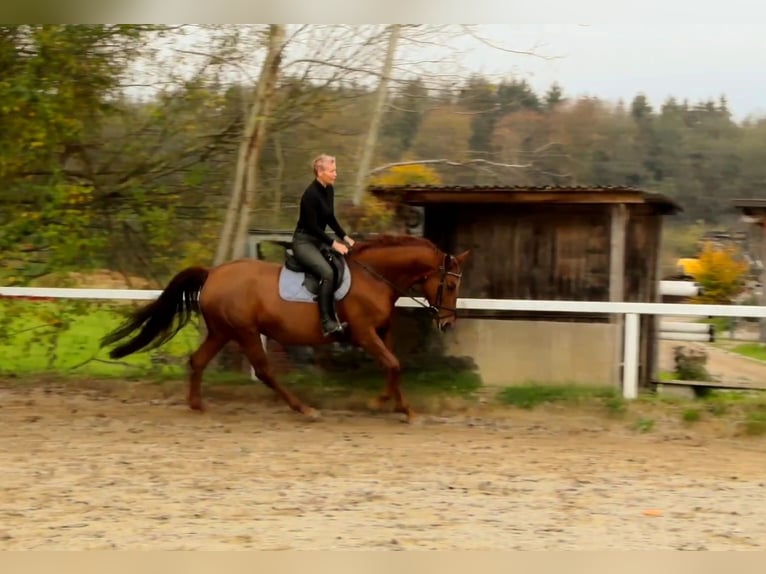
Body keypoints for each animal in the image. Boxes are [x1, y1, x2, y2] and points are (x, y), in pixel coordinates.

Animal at [100, 234, 474, 424]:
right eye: (450, 285)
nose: (447, 322)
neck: (375, 277)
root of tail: (213, 273)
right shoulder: (365, 333)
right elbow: (393, 365)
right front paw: (379, 402)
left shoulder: (381, 332)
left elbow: (394, 366)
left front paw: (404, 409)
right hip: (245, 332)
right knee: (265, 371)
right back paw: (304, 408)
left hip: (222, 331)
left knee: (198, 361)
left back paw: (197, 405)